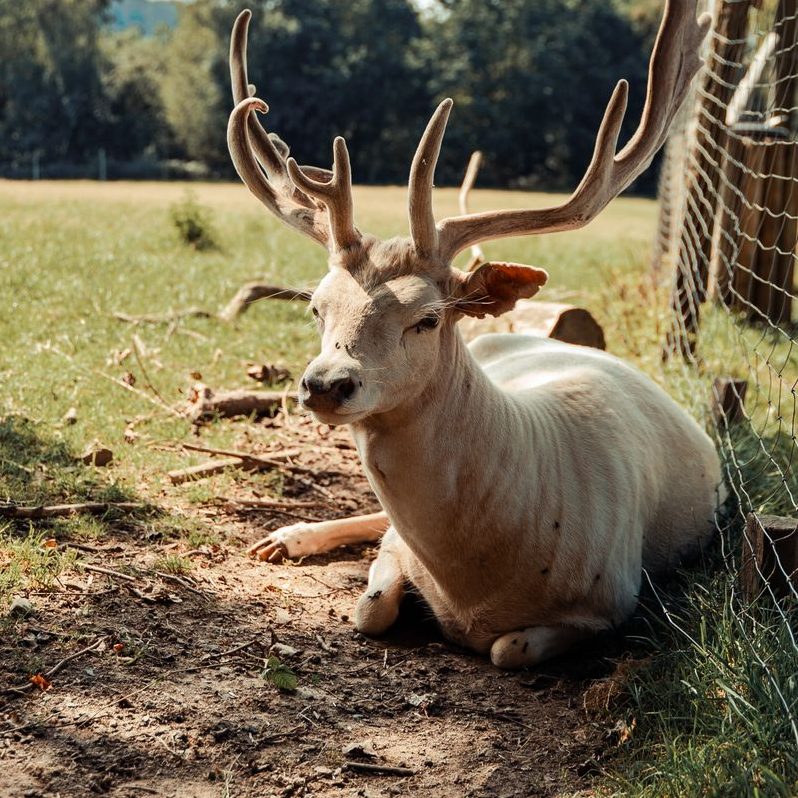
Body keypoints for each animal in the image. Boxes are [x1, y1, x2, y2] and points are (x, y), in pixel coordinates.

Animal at [228, 2, 722, 669]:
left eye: (427, 317)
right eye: (317, 308)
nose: (325, 384)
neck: (478, 582)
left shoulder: (614, 600)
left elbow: (507, 649)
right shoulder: (397, 554)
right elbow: (370, 608)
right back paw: (282, 537)